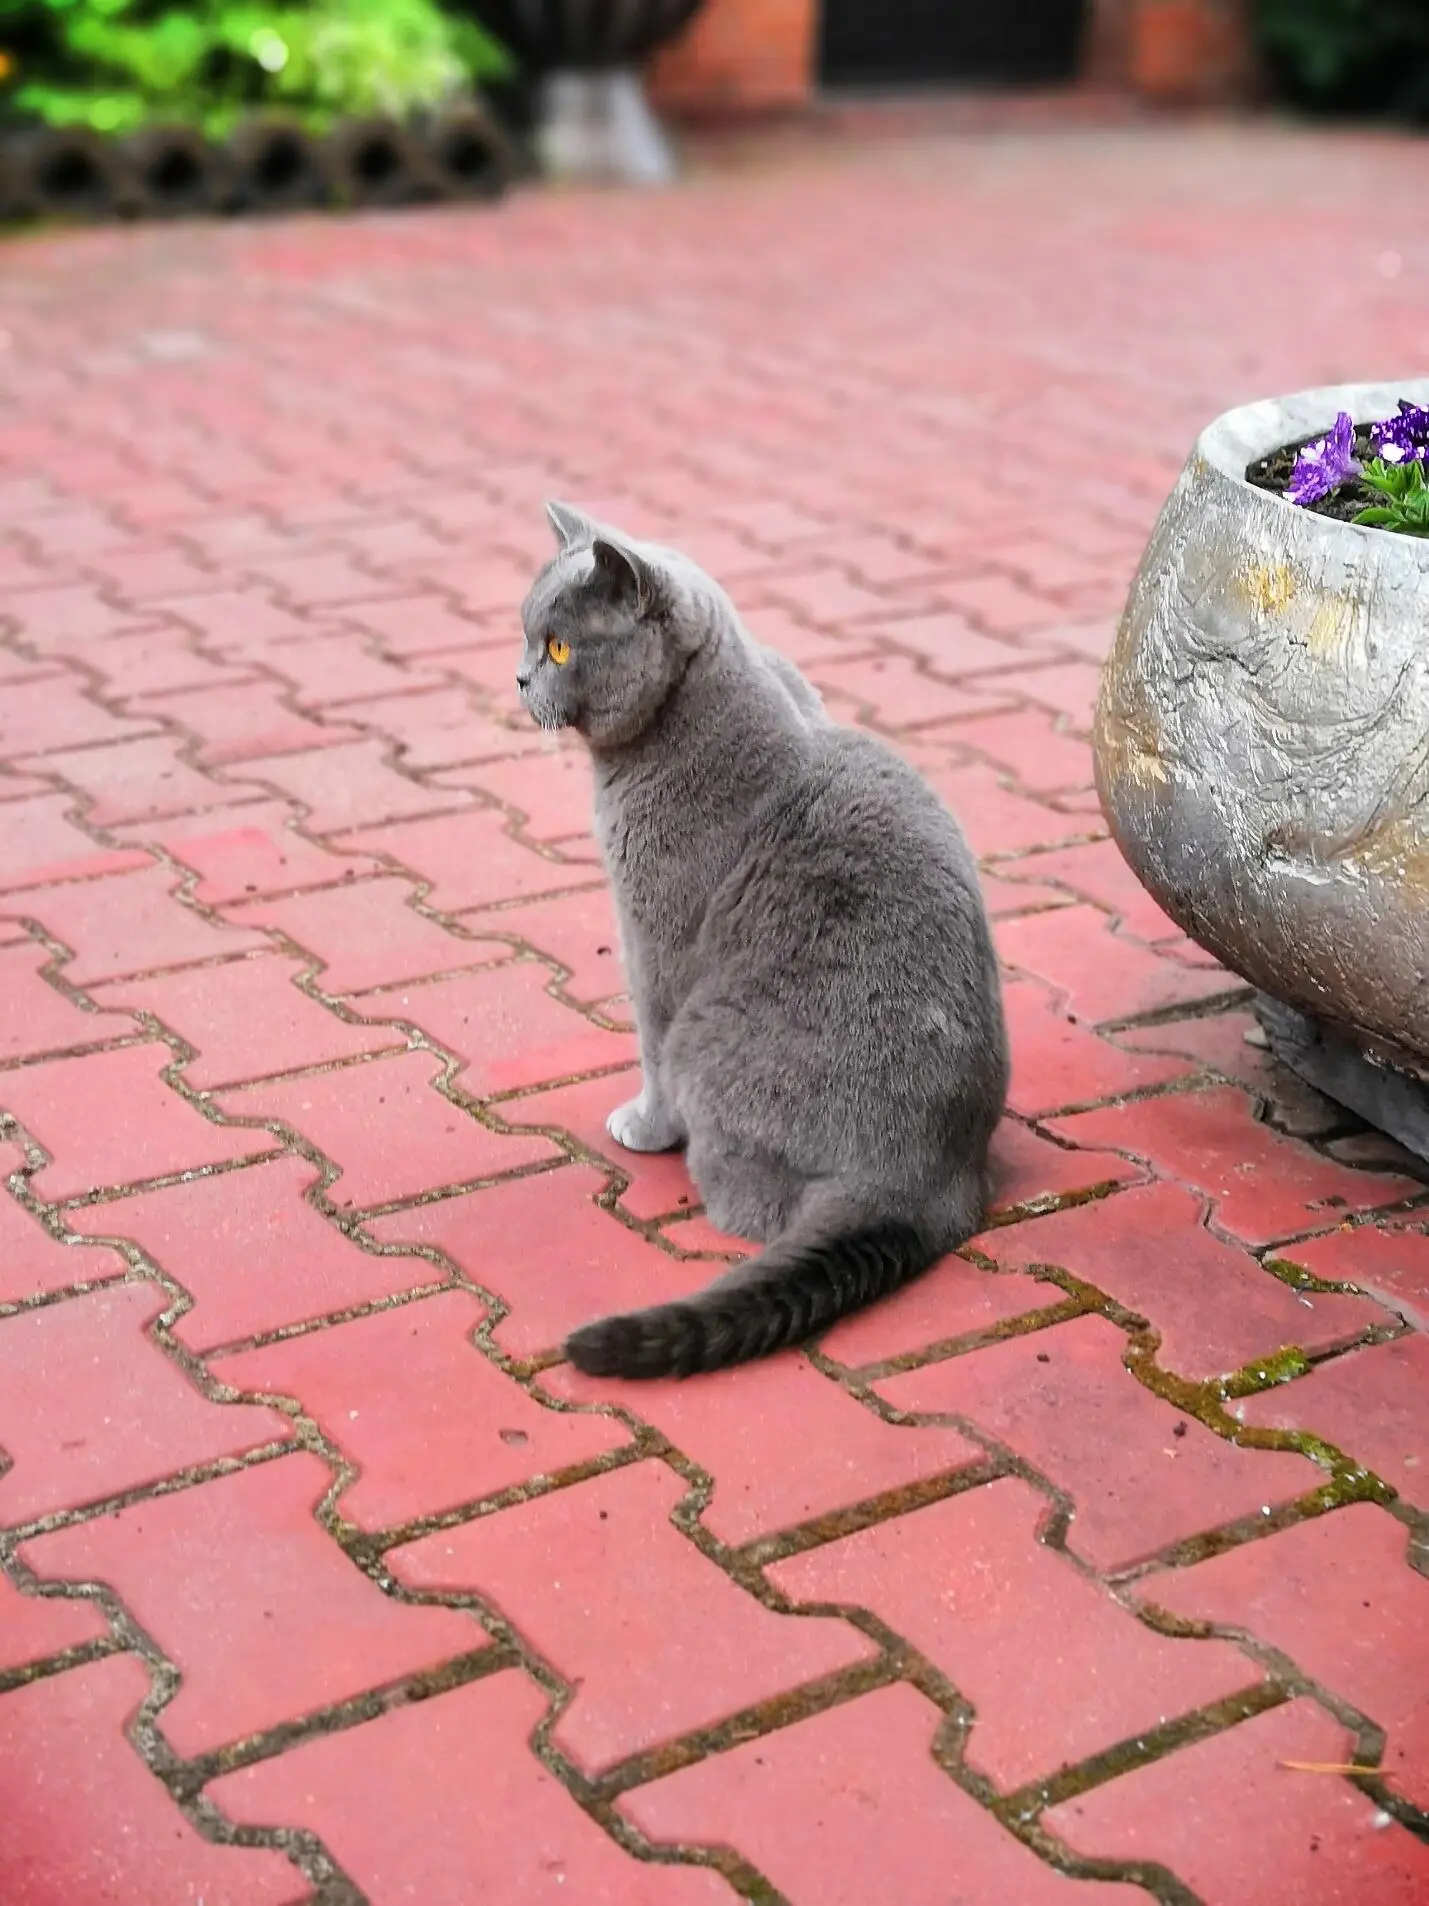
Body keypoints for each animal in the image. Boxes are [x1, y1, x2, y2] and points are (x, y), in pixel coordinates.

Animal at [514, 499, 1006, 1379]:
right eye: (526, 635)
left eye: (560, 646)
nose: (519, 678)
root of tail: (927, 1185)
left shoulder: (654, 938)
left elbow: (647, 1043)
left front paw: (641, 1127)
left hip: (708, 1040)